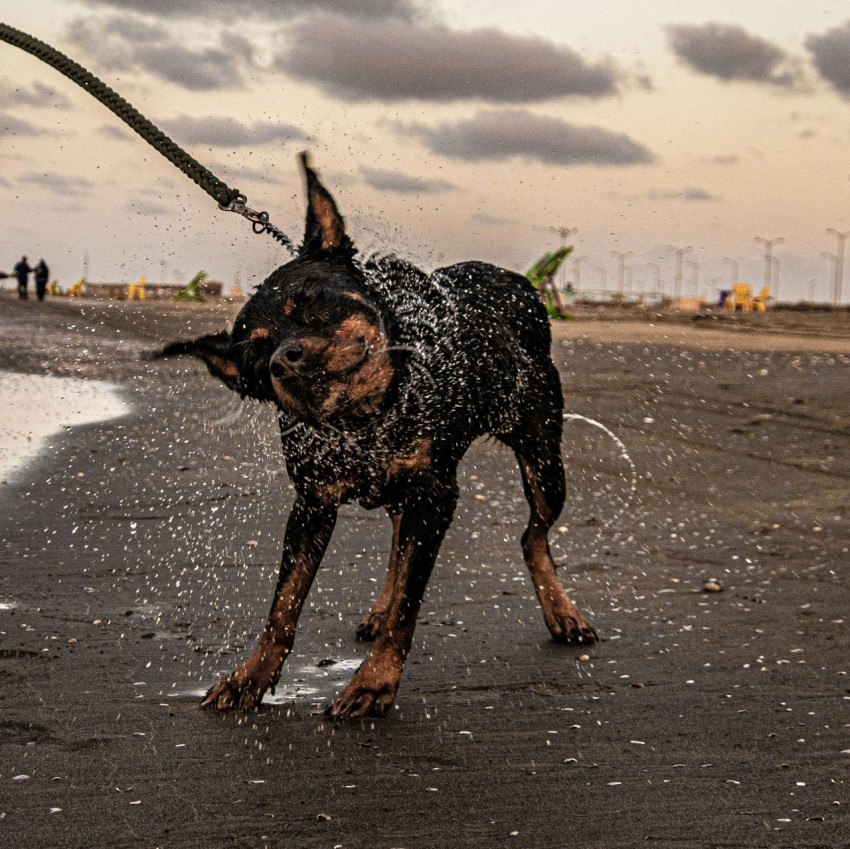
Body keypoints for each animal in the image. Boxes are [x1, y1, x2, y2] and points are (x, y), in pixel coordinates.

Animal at [159, 152, 596, 716]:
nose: (283, 359)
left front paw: (373, 683)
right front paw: (250, 676)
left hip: (543, 458)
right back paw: (379, 605)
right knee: (398, 533)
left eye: (309, 298)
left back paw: (562, 612)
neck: (365, 422)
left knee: (531, 534)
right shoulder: (312, 503)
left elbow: (410, 601)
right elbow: (283, 605)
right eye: (255, 352)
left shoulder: (435, 495)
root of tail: (517, 280)